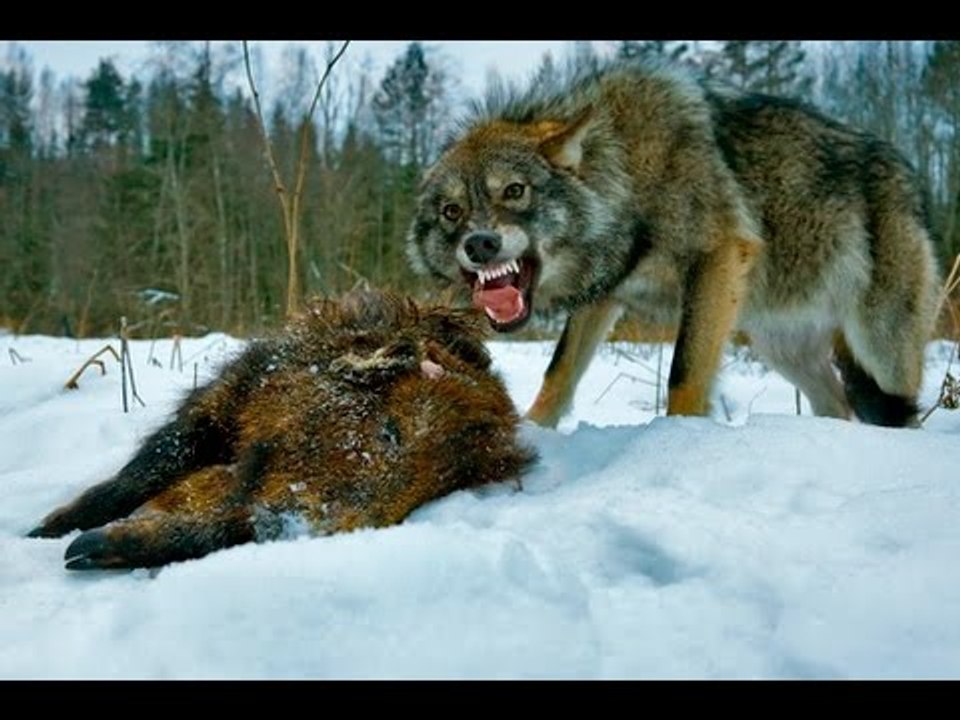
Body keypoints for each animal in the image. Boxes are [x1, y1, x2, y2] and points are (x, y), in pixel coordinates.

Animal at [29, 289, 536, 569]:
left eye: (441, 485)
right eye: (390, 430)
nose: (305, 530)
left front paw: (75, 543)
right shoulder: (222, 400)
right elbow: (142, 472)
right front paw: (43, 531)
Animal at [407, 59, 940, 428]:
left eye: (515, 191)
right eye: (451, 212)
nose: (479, 244)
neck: (626, 167)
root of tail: (913, 182)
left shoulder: (717, 258)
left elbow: (684, 374)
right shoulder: (604, 292)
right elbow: (558, 374)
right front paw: (533, 431)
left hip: (879, 354)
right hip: (784, 351)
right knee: (839, 406)